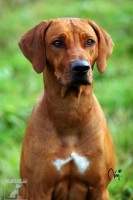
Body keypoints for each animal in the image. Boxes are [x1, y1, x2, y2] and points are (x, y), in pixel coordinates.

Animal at [18, 18, 115, 199]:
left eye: (90, 41)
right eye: (57, 43)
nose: (81, 67)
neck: (71, 112)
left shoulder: (100, 188)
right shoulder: (38, 189)